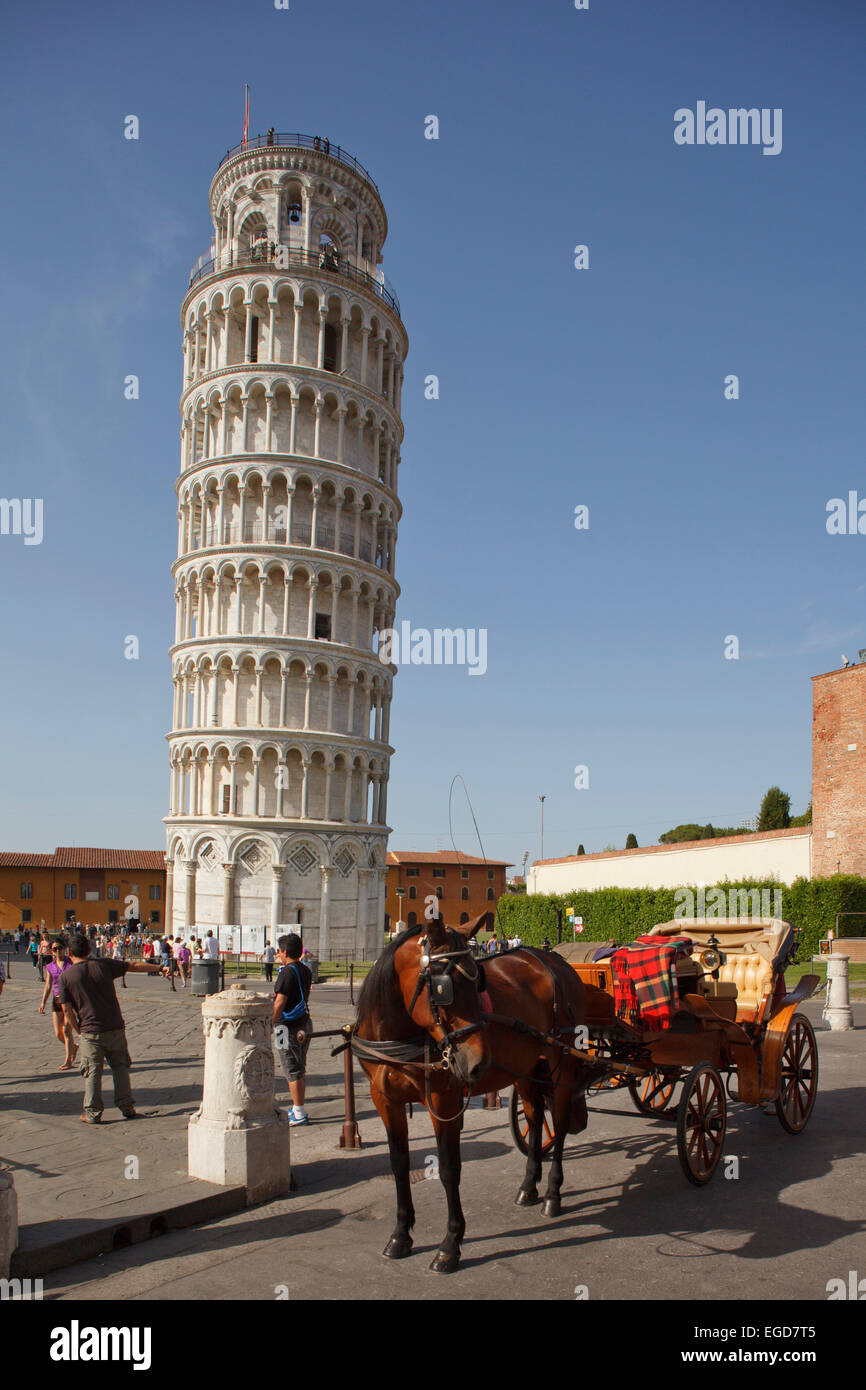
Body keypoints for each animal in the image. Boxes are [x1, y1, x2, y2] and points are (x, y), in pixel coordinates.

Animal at [354, 917, 594, 1273]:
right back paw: (529, 1186)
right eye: (443, 988)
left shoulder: (444, 1101)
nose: (477, 1062)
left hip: (560, 1061)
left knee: (561, 1124)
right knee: (536, 1117)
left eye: (478, 982)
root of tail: (555, 959)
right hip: (526, 1066)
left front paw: (451, 1244)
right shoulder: (384, 1100)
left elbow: (449, 1169)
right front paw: (400, 1234)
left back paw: (552, 1193)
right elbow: (398, 1164)